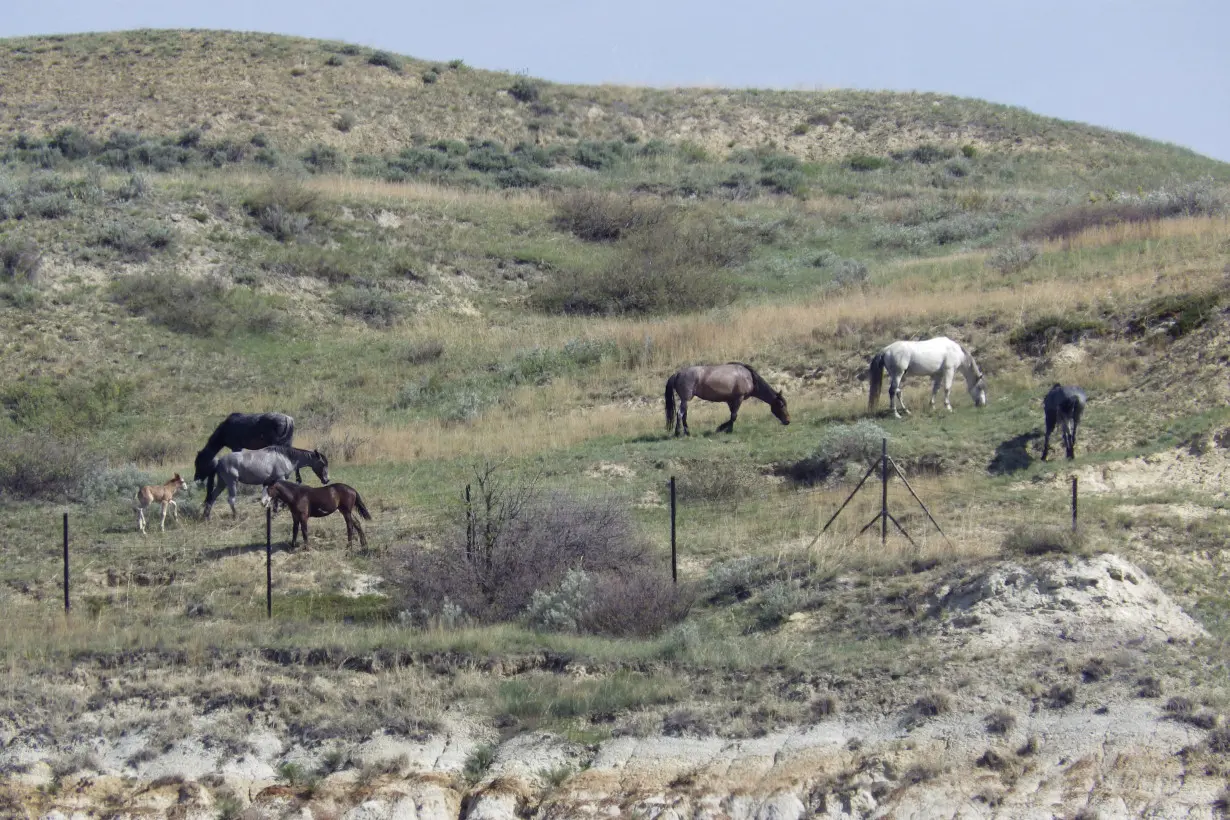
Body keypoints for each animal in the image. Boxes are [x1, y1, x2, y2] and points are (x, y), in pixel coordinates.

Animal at [201, 449, 329, 518]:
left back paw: (207, 517)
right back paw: (236, 516)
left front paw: (275, 510)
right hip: (231, 482)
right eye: (323, 464)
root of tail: (219, 461)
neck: (285, 457)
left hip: (222, 483)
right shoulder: (281, 477)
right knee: (231, 500)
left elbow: (276, 497)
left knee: (212, 497)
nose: (326, 480)